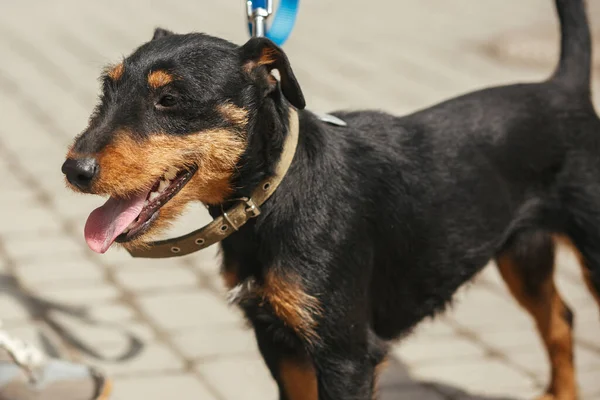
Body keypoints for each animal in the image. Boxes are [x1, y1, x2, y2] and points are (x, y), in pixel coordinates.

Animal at [62, 0, 600, 398]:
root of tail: (565, 87)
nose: (73, 169)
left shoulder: (346, 356)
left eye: (169, 100)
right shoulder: (277, 341)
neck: (273, 196)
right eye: (106, 89)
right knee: (560, 320)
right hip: (523, 254)